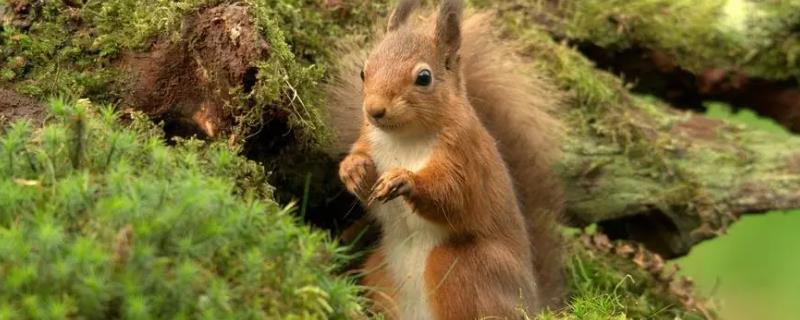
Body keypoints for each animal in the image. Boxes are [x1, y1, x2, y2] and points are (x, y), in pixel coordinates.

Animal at [324, 0, 564, 318]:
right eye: (364, 71)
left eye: (424, 78)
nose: (374, 110)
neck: (405, 138)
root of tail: (531, 303)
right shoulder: (369, 139)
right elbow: (362, 167)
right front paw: (354, 170)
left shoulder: (465, 156)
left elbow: (454, 195)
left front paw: (405, 180)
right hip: (379, 272)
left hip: (460, 268)